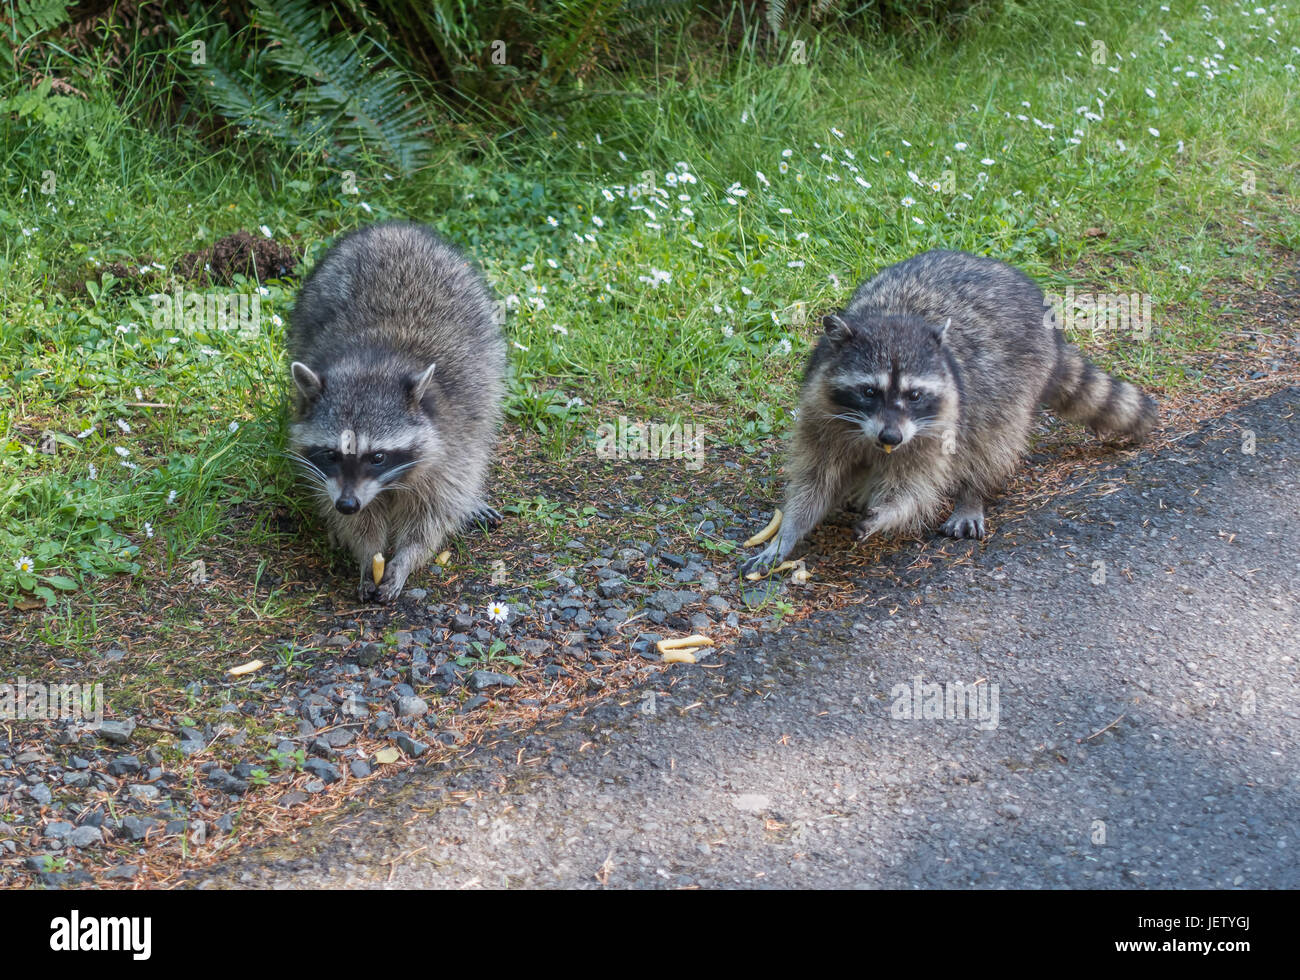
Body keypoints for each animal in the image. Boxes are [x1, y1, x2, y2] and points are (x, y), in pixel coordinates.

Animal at [287, 221, 507, 601]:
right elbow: (359, 521)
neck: (374, 363)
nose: (346, 504)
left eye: (378, 457)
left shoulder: (452, 441)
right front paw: (365, 553)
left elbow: (432, 515)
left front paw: (405, 557)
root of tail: (392, 228)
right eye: (330, 454)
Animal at [743, 249, 1156, 576]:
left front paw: (891, 513)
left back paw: (972, 493)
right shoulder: (820, 415)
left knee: (991, 442)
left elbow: (917, 487)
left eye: (914, 395)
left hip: (1014, 388)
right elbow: (814, 482)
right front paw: (788, 532)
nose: (891, 437)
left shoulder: (935, 426)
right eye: (869, 391)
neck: (894, 316)